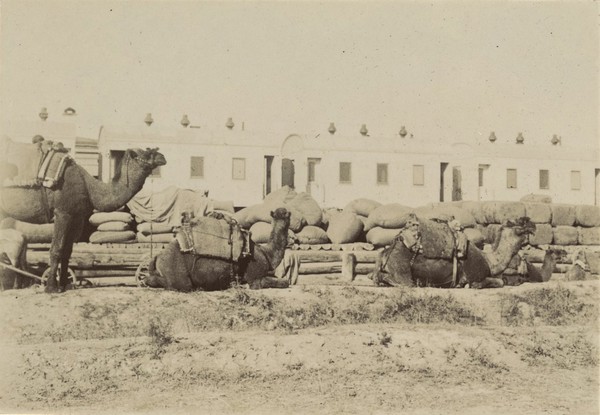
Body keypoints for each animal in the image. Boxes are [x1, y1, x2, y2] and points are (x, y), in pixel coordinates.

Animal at [0, 146, 166, 292]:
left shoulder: (76, 217)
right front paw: (51, 287)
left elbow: (67, 252)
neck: (89, 187)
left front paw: (65, 285)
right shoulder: (62, 213)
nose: (162, 157)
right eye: (146, 153)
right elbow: (57, 249)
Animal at [370, 216, 536, 290]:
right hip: (402, 270)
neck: (490, 261)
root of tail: (388, 250)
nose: (533, 224)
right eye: (519, 222)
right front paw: (470, 286)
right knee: (399, 281)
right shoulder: (474, 275)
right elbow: (499, 282)